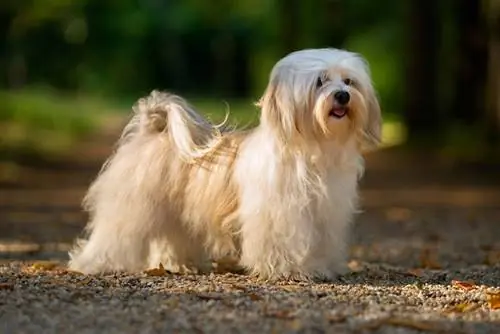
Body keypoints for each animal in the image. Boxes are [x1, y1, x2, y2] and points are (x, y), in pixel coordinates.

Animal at [68, 47, 382, 282]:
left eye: (349, 82)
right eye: (320, 81)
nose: (342, 95)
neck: (312, 149)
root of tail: (153, 127)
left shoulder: (326, 215)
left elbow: (322, 243)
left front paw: (322, 268)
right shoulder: (281, 214)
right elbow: (284, 243)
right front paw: (289, 270)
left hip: (176, 213)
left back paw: (180, 264)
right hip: (131, 207)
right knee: (113, 235)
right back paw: (92, 264)